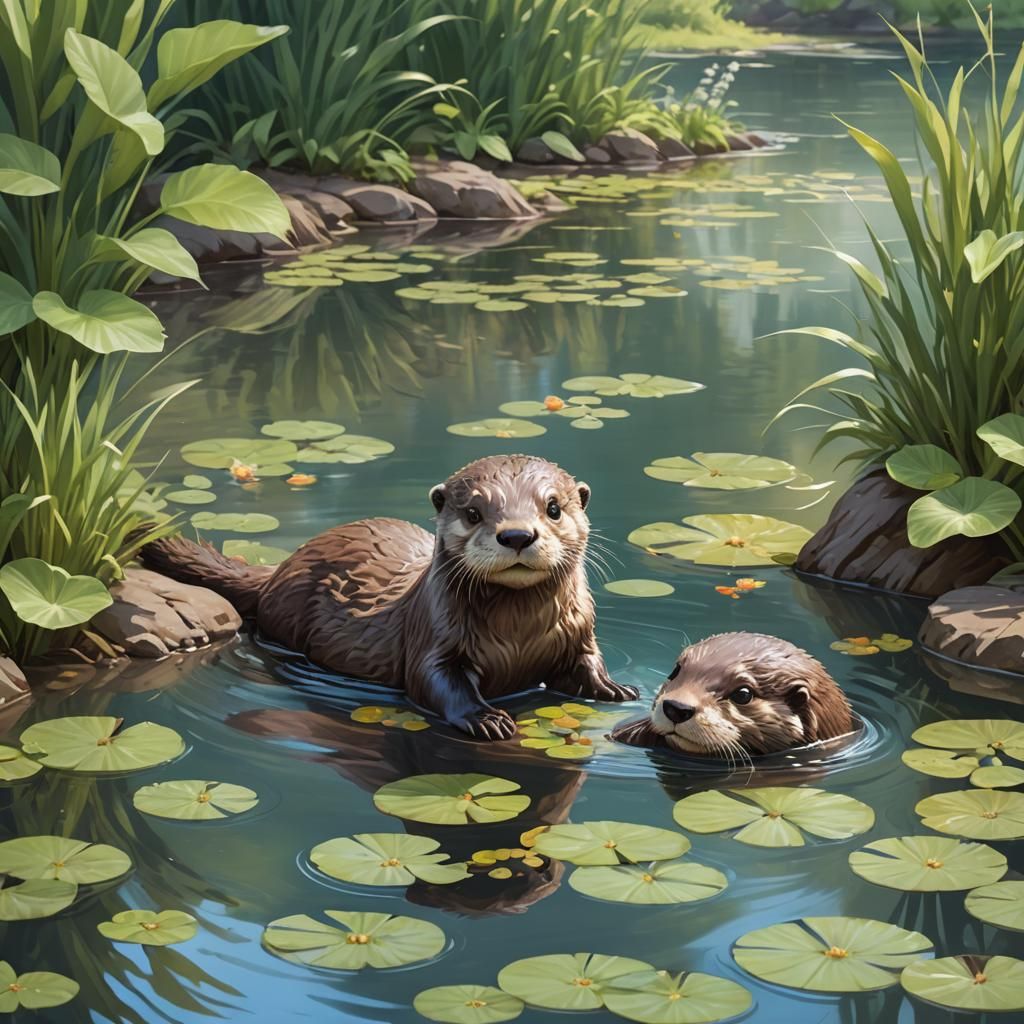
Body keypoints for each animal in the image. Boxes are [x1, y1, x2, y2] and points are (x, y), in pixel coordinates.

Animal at [140, 455, 637, 739]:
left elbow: (587, 662)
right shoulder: (433, 638)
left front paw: (614, 687)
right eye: (474, 512)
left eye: (553, 507)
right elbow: (435, 682)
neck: (520, 638)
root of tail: (279, 568)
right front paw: (486, 718)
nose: (516, 534)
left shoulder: (579, 630)